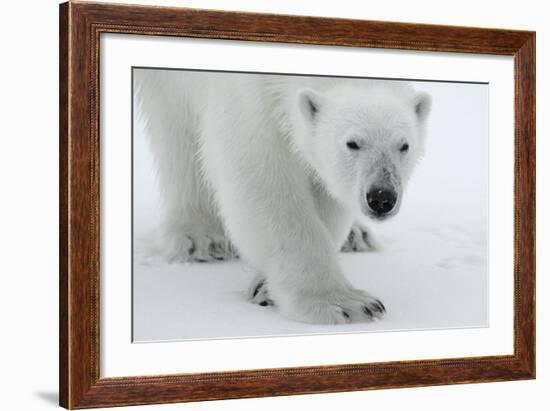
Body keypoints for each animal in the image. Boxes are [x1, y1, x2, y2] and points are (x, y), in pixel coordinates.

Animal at [136, 68, 434, 326]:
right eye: (352, 143)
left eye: (404, 145)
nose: (382, 197)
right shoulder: (244, 94)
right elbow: (260, 175)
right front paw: (343, 304)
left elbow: (324, 187)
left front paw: (265, 287)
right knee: (174, 122)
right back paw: (202, 237)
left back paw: (356, 235)